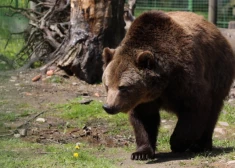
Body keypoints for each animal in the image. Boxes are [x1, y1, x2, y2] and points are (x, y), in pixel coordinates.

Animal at [101, 10, 235, 160]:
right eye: (107, 85)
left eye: (123, 87)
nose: (108, 107)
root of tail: (217, 31)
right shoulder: (143, 99)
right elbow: (144, 120)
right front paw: (141, 152)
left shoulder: (185, 78)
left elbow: (196, 107)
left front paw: (178, 143)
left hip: (218, 72)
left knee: (212, 113)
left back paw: (201, 145)